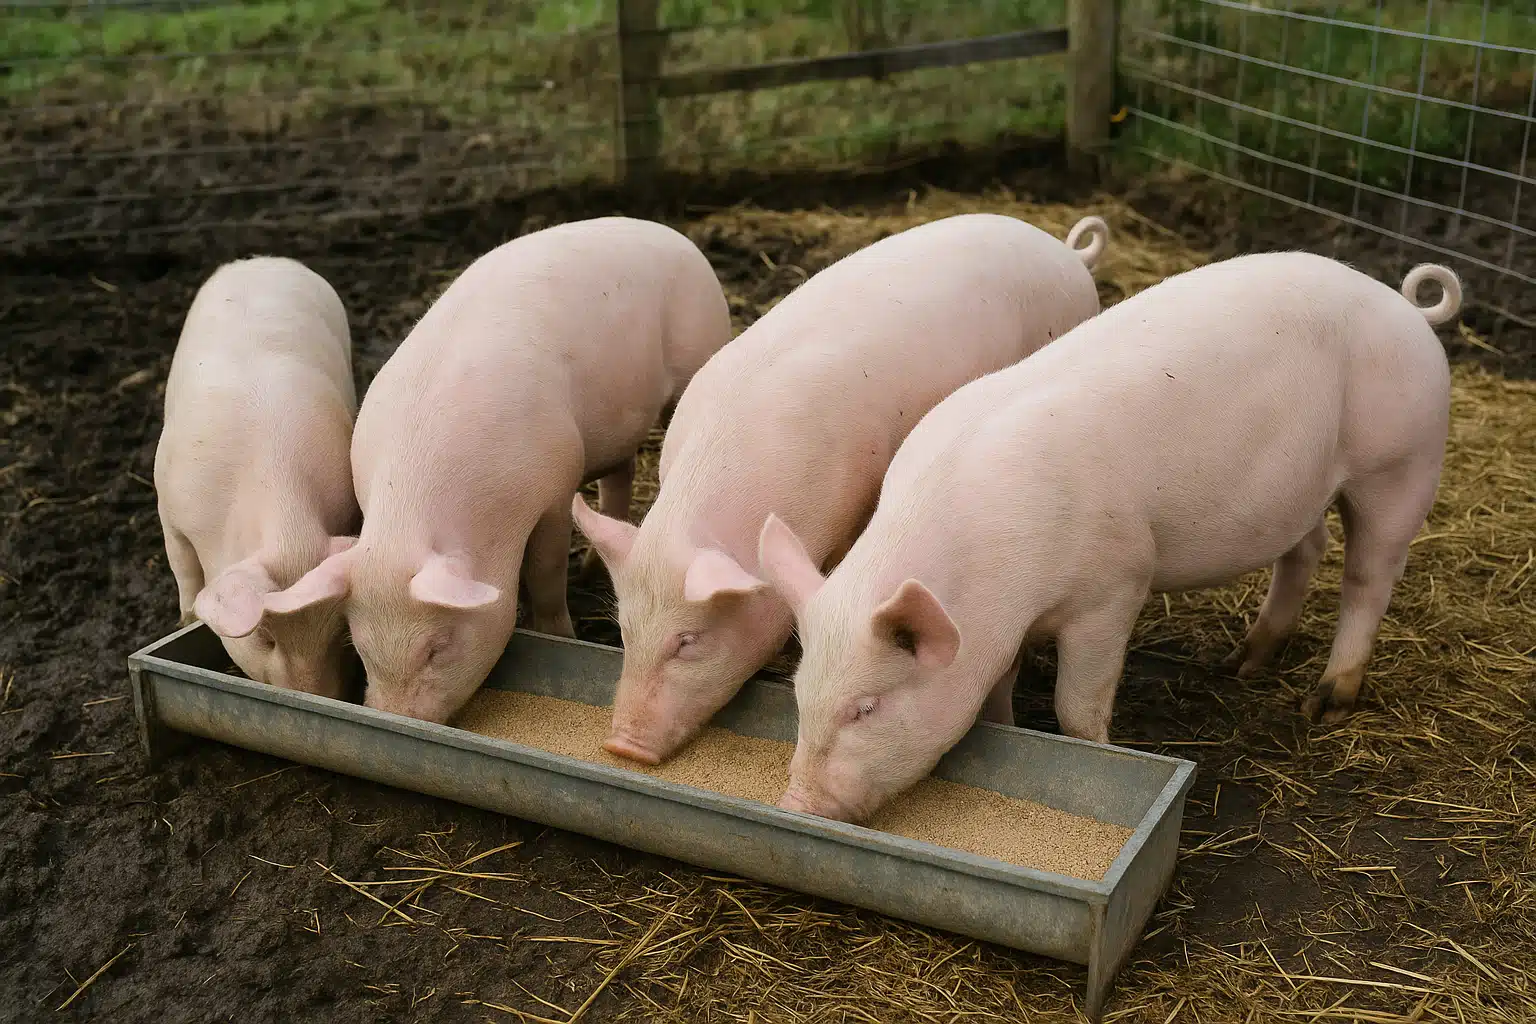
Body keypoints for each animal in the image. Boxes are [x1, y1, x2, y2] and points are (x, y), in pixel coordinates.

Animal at [154, 256, 360, 698]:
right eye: (265, 638)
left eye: (337, 633)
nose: (314, 696)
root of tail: (263, 261)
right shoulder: (168, 508)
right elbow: (184, 568)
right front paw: (183, 620)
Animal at [261, 217, 732, 724]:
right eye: (362, 650)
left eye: (437, 646)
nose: (397, 716)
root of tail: (669, 232)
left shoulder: (555, 487)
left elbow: (545, 571)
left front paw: (559, 635)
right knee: (619, 474)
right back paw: (590, 567)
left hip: (697, 351)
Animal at [760, 253, 1460, 824]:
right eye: (800, 696)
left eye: (866, 707)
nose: (796, 803)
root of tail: (1406, 306)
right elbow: (998, 692)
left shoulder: (1114, 587)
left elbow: (1079, 705)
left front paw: (1099, 750)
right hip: (1300, 491)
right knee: (1306, 551)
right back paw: (1240, 663)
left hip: (1403, 461)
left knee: (1370, 576)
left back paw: (1326, 704)